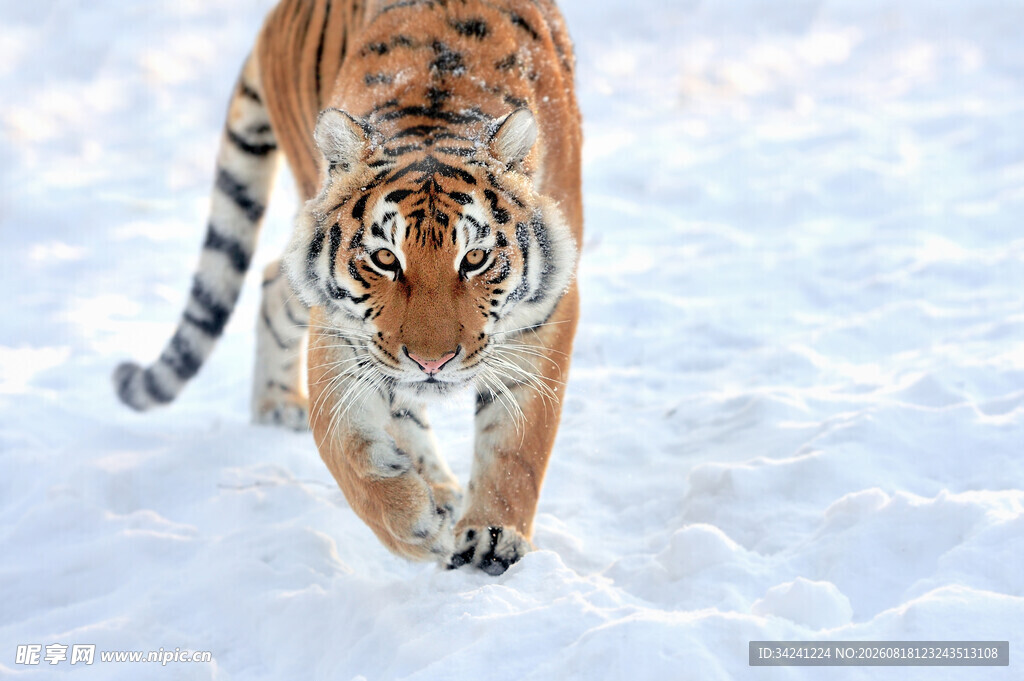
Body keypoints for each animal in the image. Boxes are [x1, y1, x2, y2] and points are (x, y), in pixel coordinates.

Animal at [114, 0, 582, 575]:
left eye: (474, 258)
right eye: (385, 258)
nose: (432, 362)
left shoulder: (549, 310)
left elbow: (517, 443)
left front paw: (492, 536)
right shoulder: (341, 326)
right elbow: (344, 446)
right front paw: (415, 524)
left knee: (273, 281)